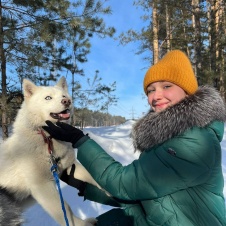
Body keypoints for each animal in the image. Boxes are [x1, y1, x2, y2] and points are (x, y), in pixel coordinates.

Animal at [0, 77, 99, 225]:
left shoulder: (71, 167)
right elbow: (66, 210)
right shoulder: (42, 187)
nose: (67, 101)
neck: (48, 139)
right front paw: (81, 223)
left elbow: (95, 180)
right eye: (48, 98)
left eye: (63, 96)